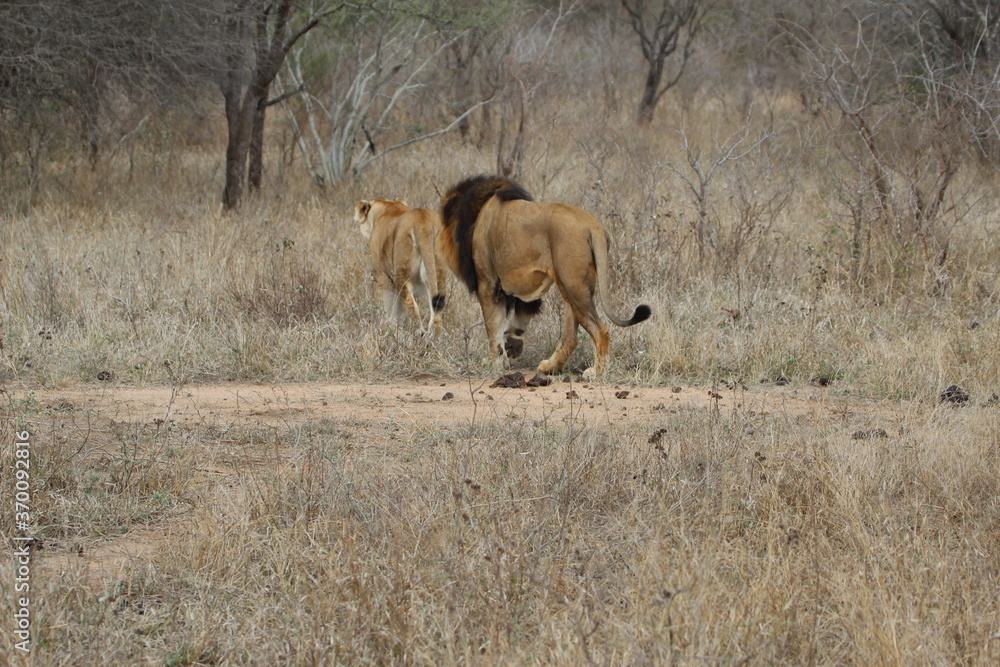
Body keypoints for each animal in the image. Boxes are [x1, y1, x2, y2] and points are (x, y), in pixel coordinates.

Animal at [355, 198, 447, 335]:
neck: (387, 205)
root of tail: (423, 222)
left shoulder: (383, 276)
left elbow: (390, 306)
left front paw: (389, 326)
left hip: (401, 273)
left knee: (410, 303)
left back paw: (418, 333)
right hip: (438, 274)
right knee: (437, 315)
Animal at [438, 175, 650, 378]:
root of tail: (593, 225)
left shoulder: (488, 283)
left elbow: (493, 327)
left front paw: (495, 362)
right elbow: (512, 323)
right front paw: (511, 347)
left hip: (572, 284)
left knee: (600, 330)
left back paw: (596, 372)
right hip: (572, 285)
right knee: (571, 336)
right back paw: (551, 366)